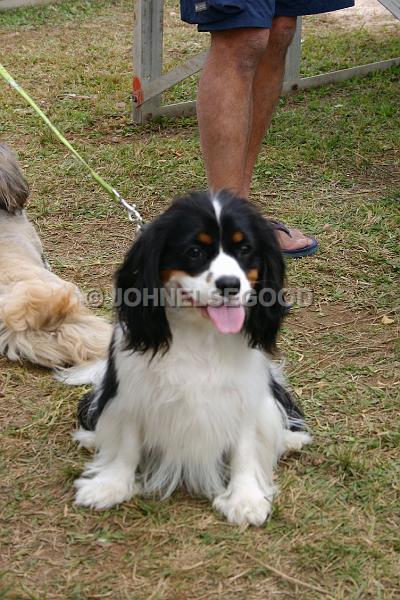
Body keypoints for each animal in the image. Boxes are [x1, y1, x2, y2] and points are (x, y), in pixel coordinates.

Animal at [69, 191, 310, 524]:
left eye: (245, 249)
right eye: (194, 252)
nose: (229, 284)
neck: (201, 332)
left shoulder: (245, 395)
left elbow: (246, 446)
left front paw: (245, 498)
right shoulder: (132, 391)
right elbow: (127, 442)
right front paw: (111, 485)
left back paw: (289, 440)